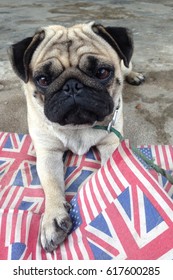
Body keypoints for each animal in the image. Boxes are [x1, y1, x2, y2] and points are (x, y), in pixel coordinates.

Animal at [7, 21, 144, 252]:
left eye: (102, 72)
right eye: (43, 80)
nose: (72, 86)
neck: (77, 127)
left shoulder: (111, 143)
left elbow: (108, 170)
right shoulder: (48, 153)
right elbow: (52, 185)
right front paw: (52, 218)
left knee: (127, 65)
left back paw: (134, 75)